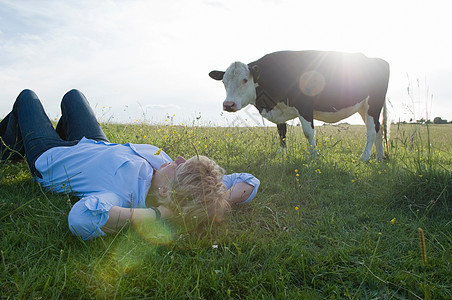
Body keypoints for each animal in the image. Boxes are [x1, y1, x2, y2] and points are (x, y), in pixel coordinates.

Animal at [210, 51, 390, 162]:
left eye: (245, 80)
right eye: (224, 82)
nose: (228, 104)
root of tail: (378, 60)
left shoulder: (304, 106)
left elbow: (308, 132)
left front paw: (314, 156)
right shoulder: (280, 110)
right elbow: (281, 133)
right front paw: (281, 154)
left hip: (373, 104)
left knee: (371, 130)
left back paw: (365, 157)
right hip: (364, 107)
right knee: (378, 128)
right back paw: (380, 157)